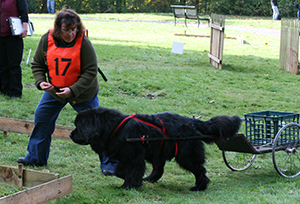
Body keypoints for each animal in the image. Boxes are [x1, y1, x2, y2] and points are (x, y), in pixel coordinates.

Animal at [70, 107, 241, 191]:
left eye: (78, 126)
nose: (71, 134)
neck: (115, 128)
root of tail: (193, 122)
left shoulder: (134, 157)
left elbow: (132, 172)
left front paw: (128, 186)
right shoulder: (126, 156)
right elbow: (120, 171)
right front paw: (130, 180)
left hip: (186, 156)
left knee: (200, 170)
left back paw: (199, 187)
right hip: (160, 149)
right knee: (159, 169)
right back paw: (150, 179)